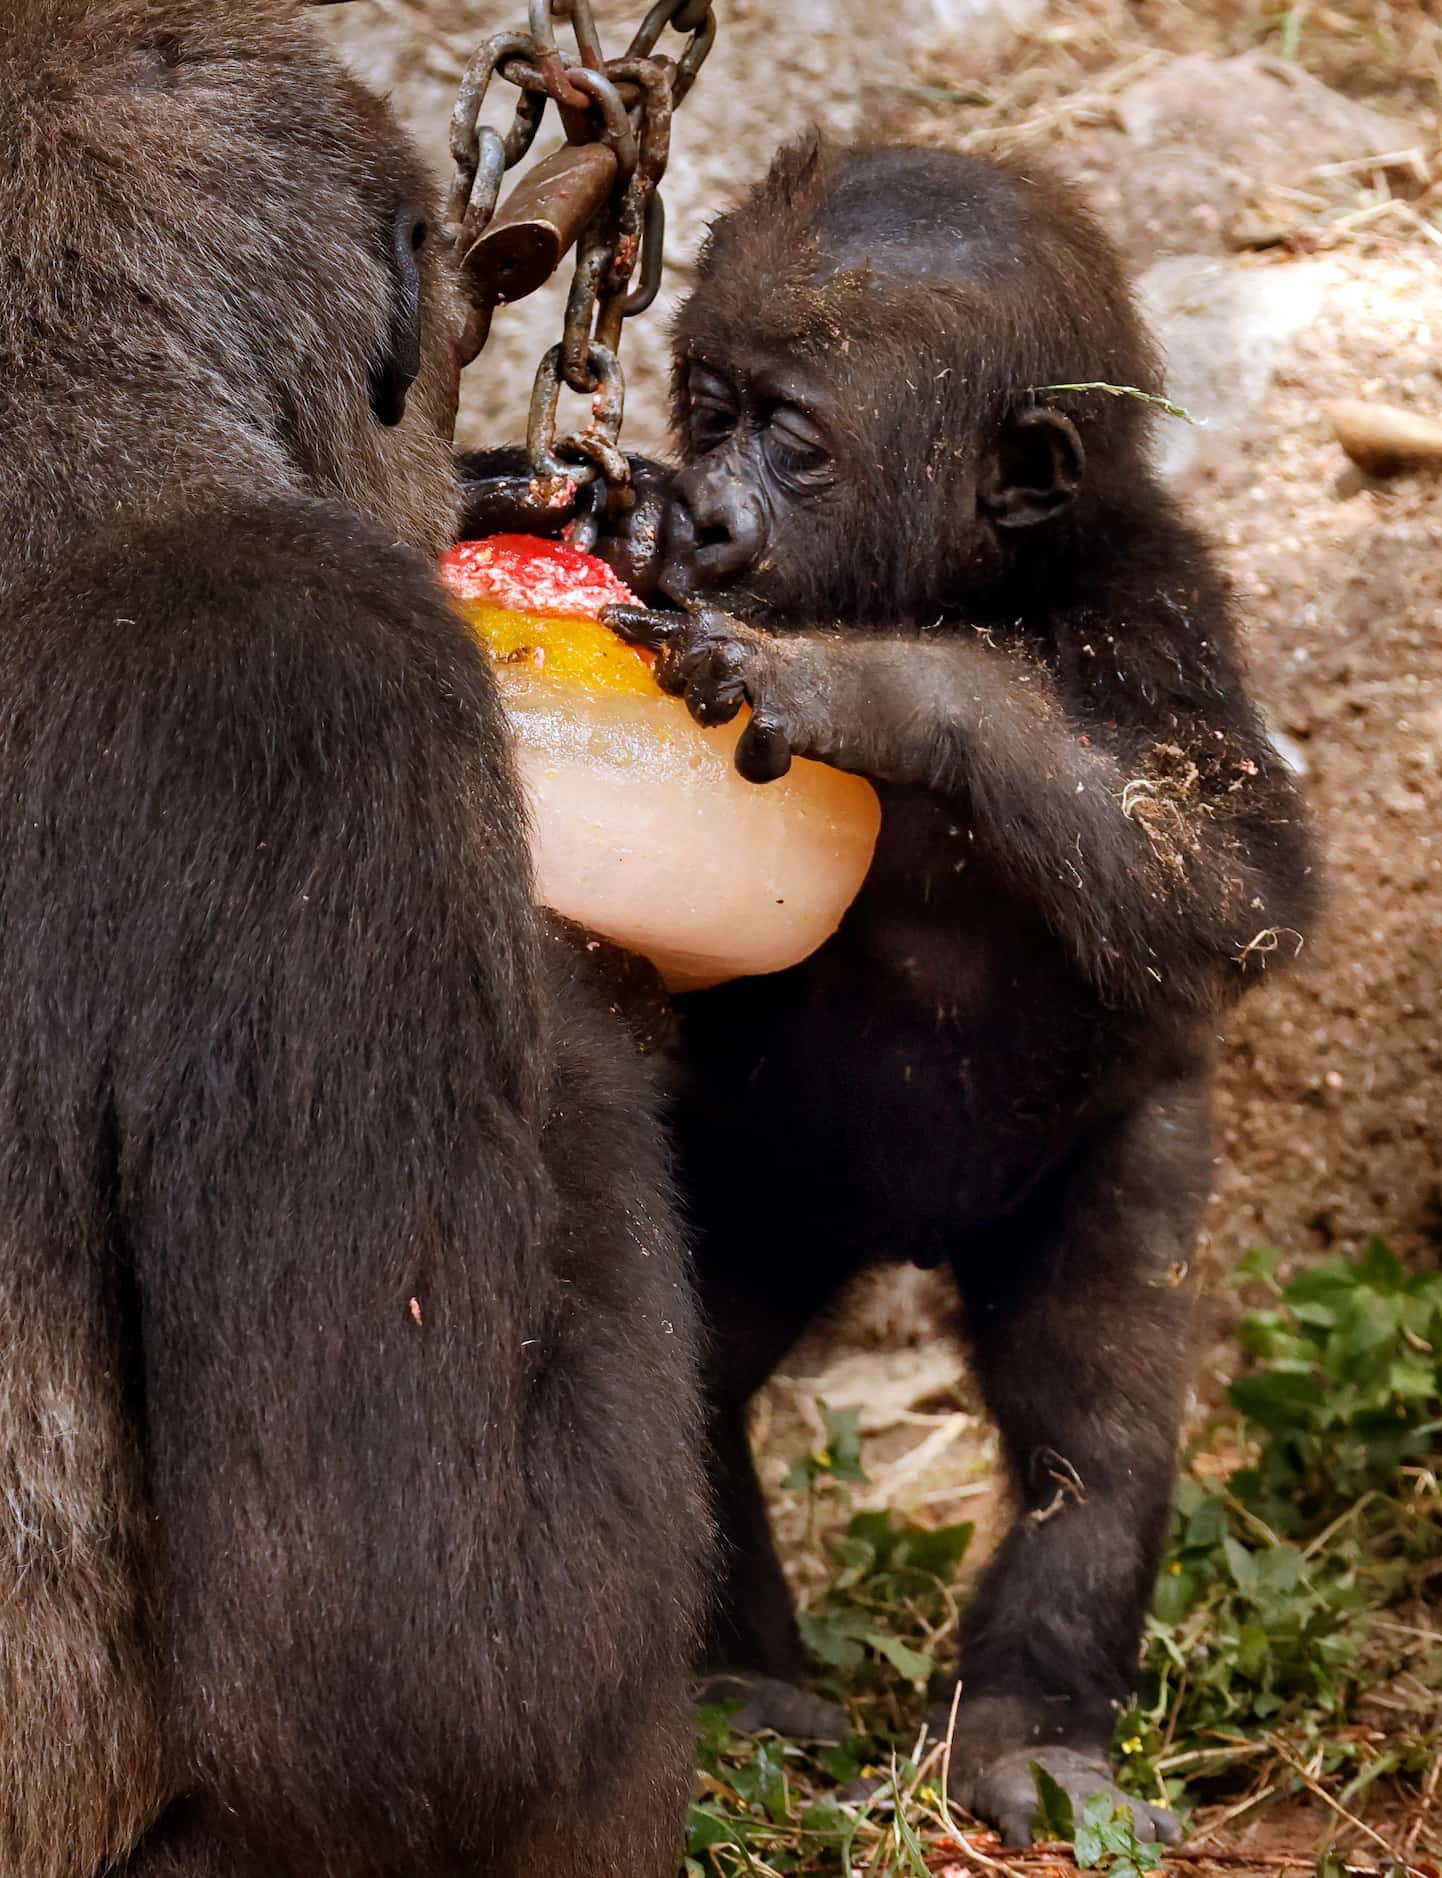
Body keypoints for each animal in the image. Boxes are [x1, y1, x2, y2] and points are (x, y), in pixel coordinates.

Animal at [600, 142, 1314, 1847]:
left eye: (792, 438)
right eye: (702, 406)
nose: (704, 516)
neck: (974, 575)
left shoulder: (1164, 615)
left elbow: (1232, 874)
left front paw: (884, 692)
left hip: (1089, 1177)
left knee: (1093, 1422)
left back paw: (1029, 1725)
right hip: (774, 1192)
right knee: (698, 1357)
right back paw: (740, 1680)